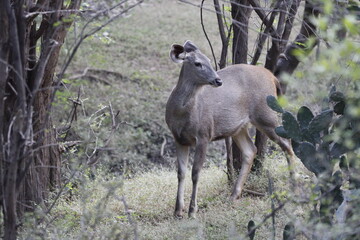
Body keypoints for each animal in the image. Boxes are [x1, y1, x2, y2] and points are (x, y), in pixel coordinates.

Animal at [166, 40, 296, 218]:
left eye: (209, 61)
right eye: (197, 63)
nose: (218, 80)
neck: (181, 114)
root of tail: (273, 77)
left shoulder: (204, 133)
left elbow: (196, 172)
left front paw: (192, 211)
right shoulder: (178, 138)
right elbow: (181, 173)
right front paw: (178, 210)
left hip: (266, 115)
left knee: (287, 142)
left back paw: (294, 186)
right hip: (238, 128)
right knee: (251, 150)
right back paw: (234, 195)